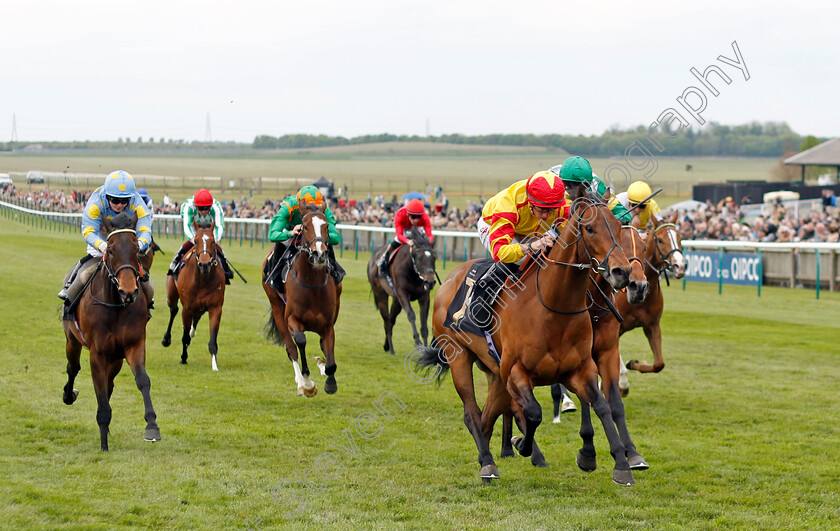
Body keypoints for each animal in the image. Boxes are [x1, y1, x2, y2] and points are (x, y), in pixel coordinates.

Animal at [60, 210, 161, 450]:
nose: (129, 290)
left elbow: (142, 380)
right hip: (72, 340)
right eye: (112, 249)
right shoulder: (97, 353)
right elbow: (99, 390)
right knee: (73, 367)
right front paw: (104, 443)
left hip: (115, 358)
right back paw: (69, 395)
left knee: (109, 382)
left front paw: (152, 427)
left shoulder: (133, 345)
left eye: (136, 248)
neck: (115, 304)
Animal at [161, 220, 225, 370]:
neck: (203, 279)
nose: (204, 264)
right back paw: (167, 339)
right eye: (195, 241)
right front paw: (183, 357)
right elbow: (184, 337)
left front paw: (214, 364)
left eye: (213, 241)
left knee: (197, 316)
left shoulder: (215, 307)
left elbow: (213, 339)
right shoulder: (187, 308)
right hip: (171, 295)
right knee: (174, 310)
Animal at [262, 202, 342, 396]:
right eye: (304, 227)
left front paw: (329, 378)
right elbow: (300, 341)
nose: (319, 254)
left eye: (326, 226)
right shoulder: (292, 318)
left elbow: (329, 355)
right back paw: (300, 382)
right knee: (291, 349)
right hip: (277, 308)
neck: (312, 286)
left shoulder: (328, 324)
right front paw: (308, 384)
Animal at [414, 190, 636, 486]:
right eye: (589, 228)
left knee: (487, 416)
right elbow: (533, 412)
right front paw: (522, 445)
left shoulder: (580, 369)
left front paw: (618, 462)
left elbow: (602, 405)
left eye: (618, 225)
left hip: (495, 373)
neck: (553, 309)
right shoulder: (516, 372)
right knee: (472, 413)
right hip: (459, 358)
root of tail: (448, 281)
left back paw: (489, 459)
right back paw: (489, 463)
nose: (622, 272)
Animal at [612, 212, 684, 394]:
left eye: (680, 237)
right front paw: (621, 383)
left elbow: (659, 364)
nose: (680, 266)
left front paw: (635, 363)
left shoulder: (652, 325)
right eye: (660, 240)